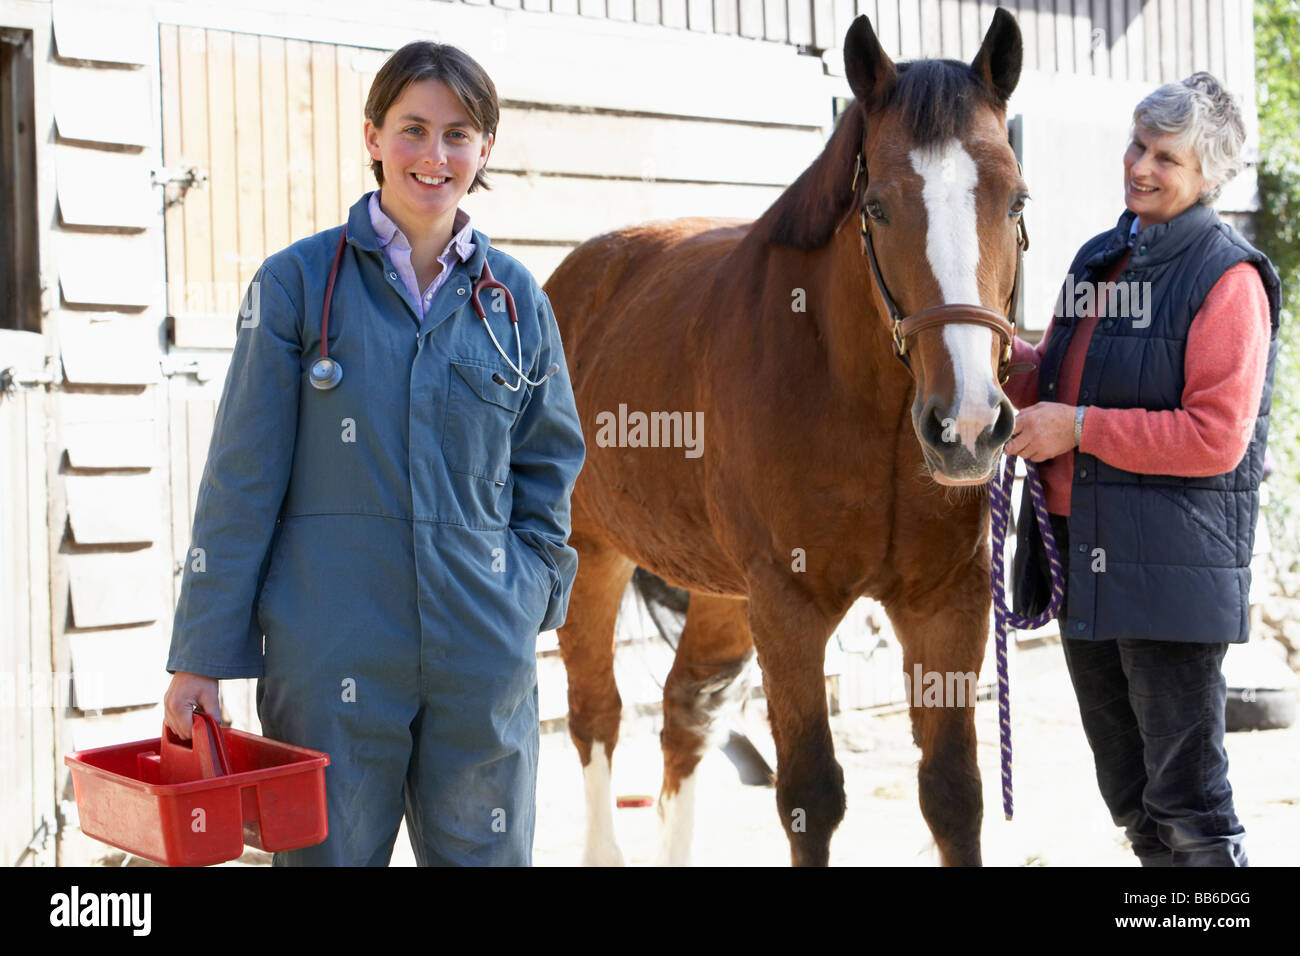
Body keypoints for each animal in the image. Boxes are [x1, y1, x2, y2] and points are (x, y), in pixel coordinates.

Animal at [543, 9, 1029, 868]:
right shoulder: (790, 605)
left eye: (1014, 201)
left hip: (721, 593)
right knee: (596, 713)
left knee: (684, 712)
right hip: (593, 557)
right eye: (879, 208)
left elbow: (953, 794)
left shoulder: (948, 602)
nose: (968, 424)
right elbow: (810, 795)